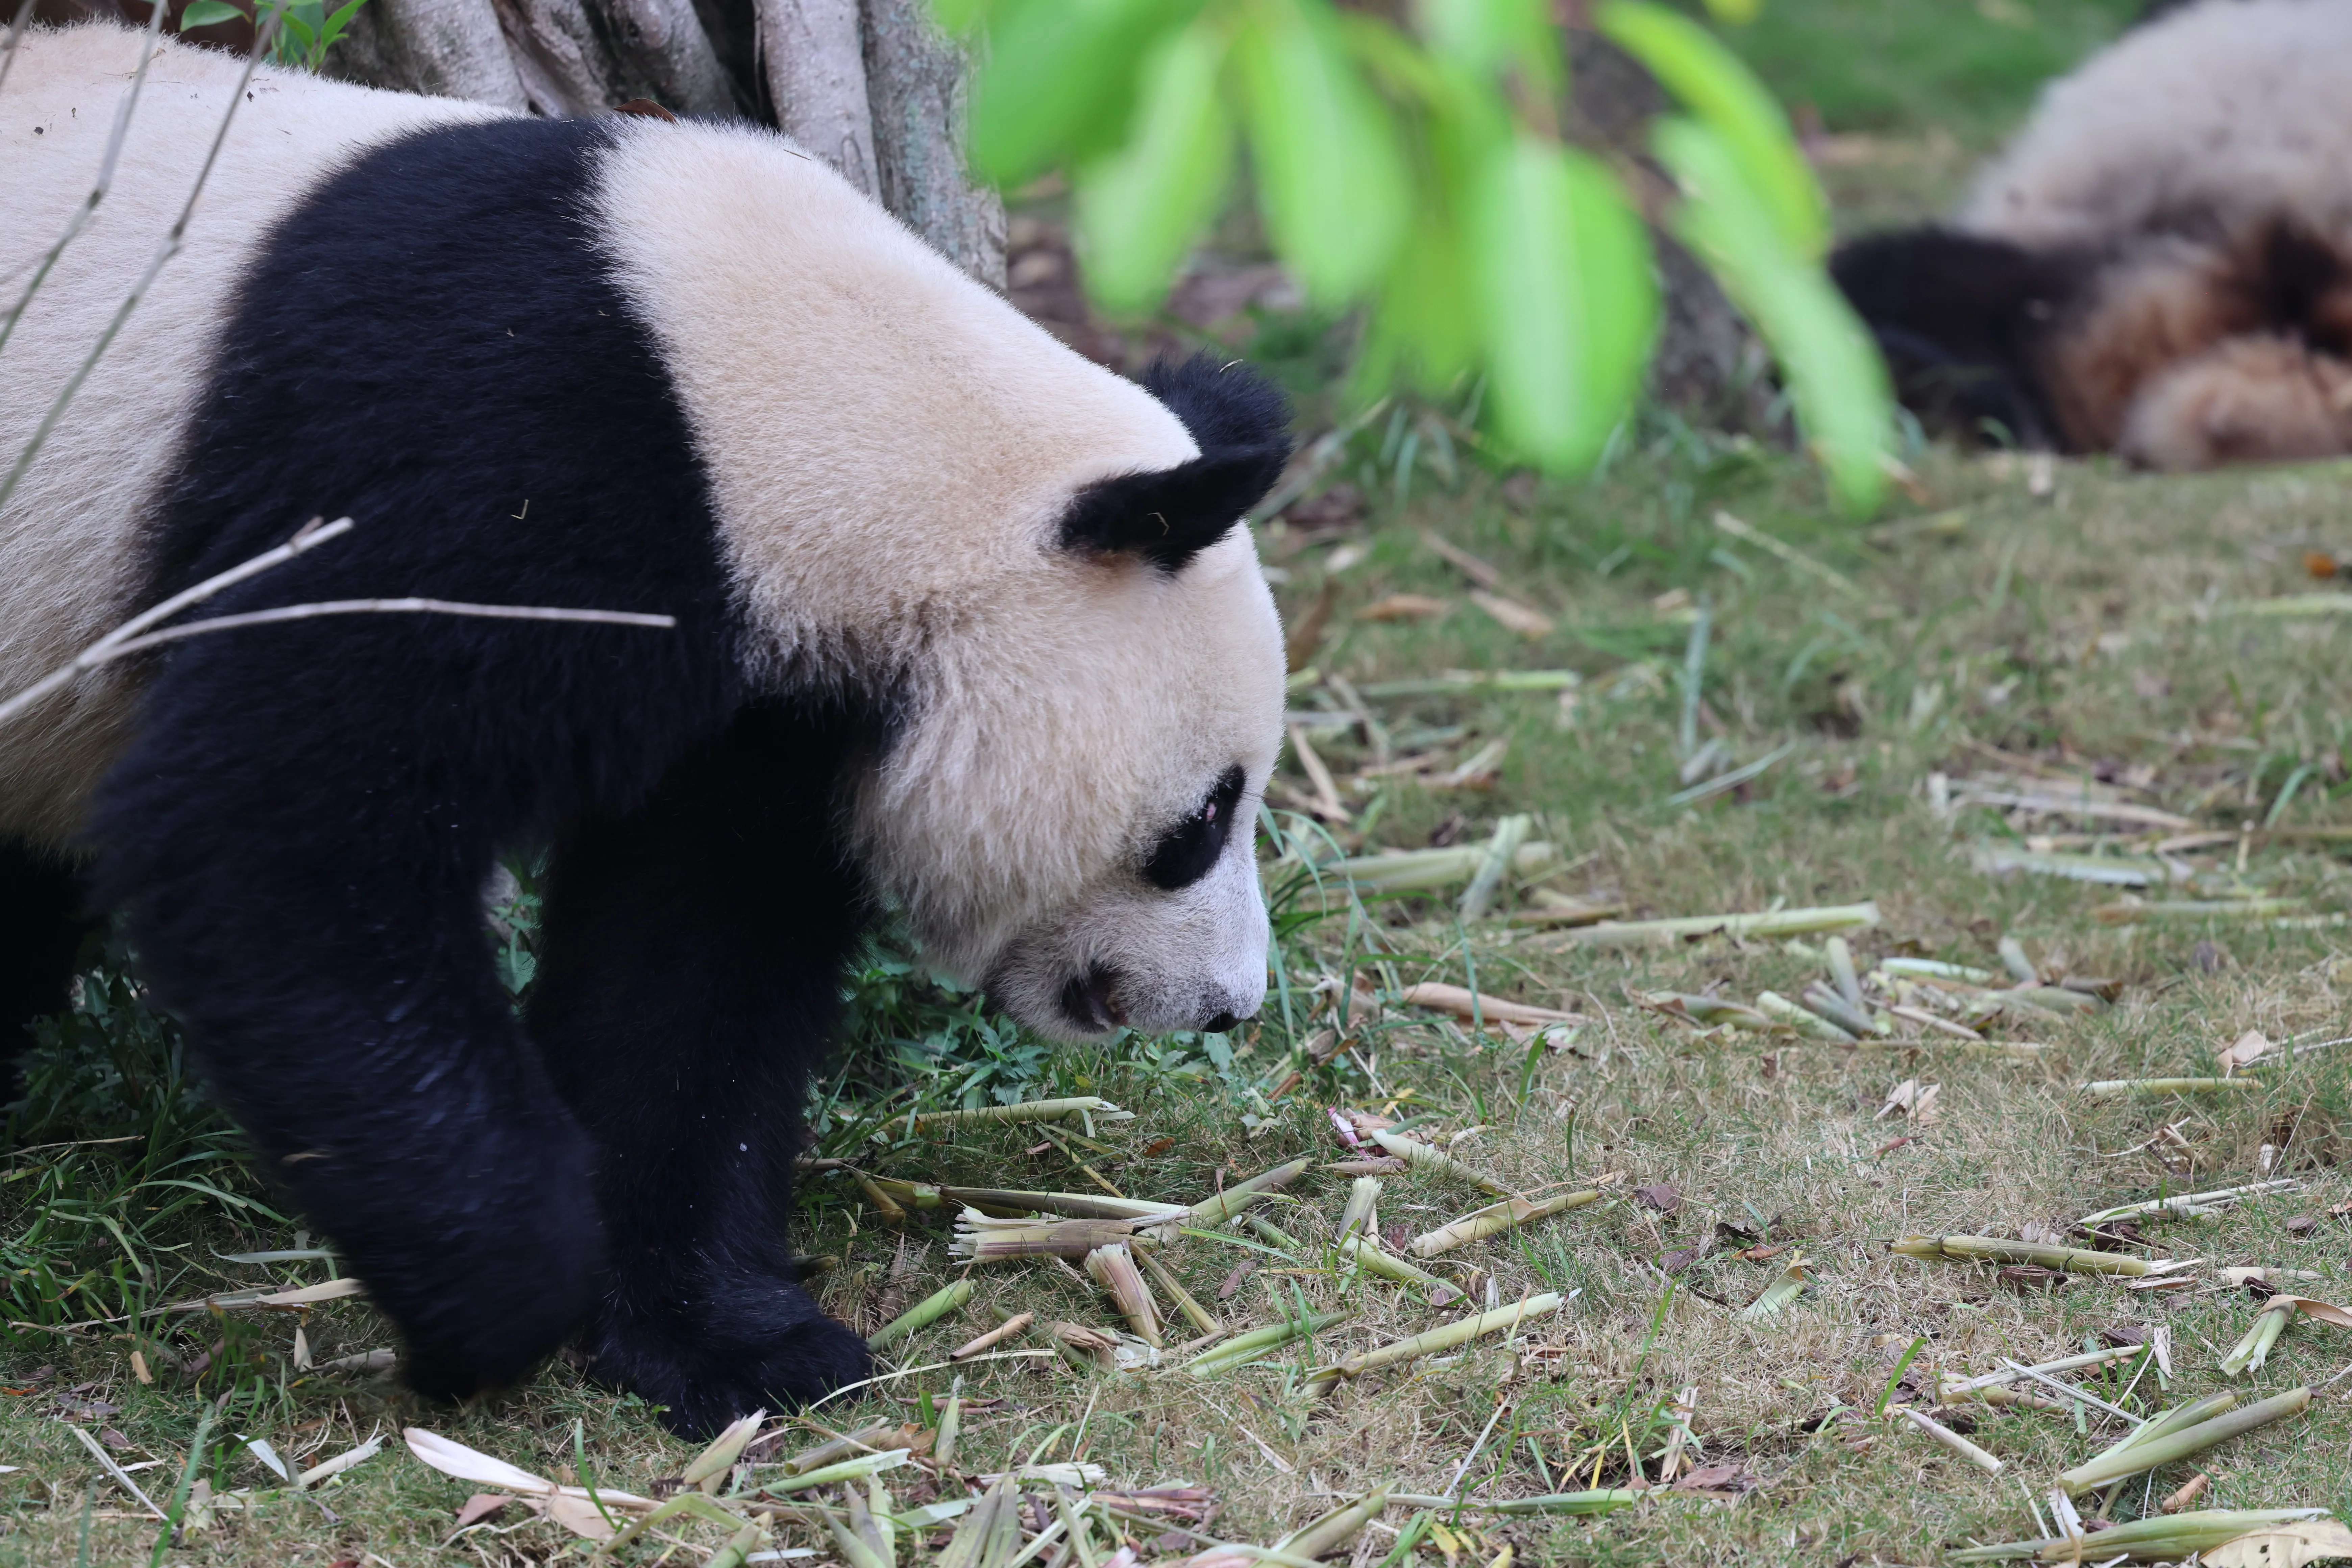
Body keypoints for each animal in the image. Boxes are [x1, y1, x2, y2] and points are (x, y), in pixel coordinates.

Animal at [0, 24, 1290, 1435]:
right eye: (1203, 817)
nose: (1227, 1005)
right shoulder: (478, 466)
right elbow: (272, 830)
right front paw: (496, 1302)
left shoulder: (757, 697)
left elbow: (686, 968)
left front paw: (722, 1335)